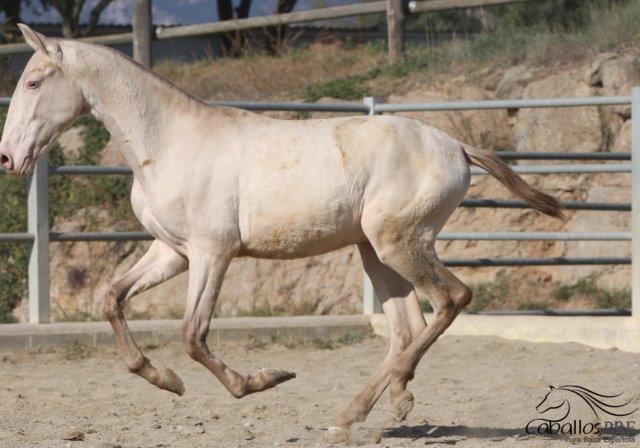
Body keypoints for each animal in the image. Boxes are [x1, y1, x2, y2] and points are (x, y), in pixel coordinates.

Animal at [0, 24, 564, 438]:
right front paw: (167, 382)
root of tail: (455, 146)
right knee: (406, 326)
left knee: (453, 298)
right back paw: (366, 411)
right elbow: (111, 298)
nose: (8, 158)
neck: (169, 141)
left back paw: (386, 396)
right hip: (375, 252)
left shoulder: (213, 252)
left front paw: (264, 380)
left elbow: (192, 334)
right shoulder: (173, 252)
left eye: (32, 83)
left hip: (398, 243)